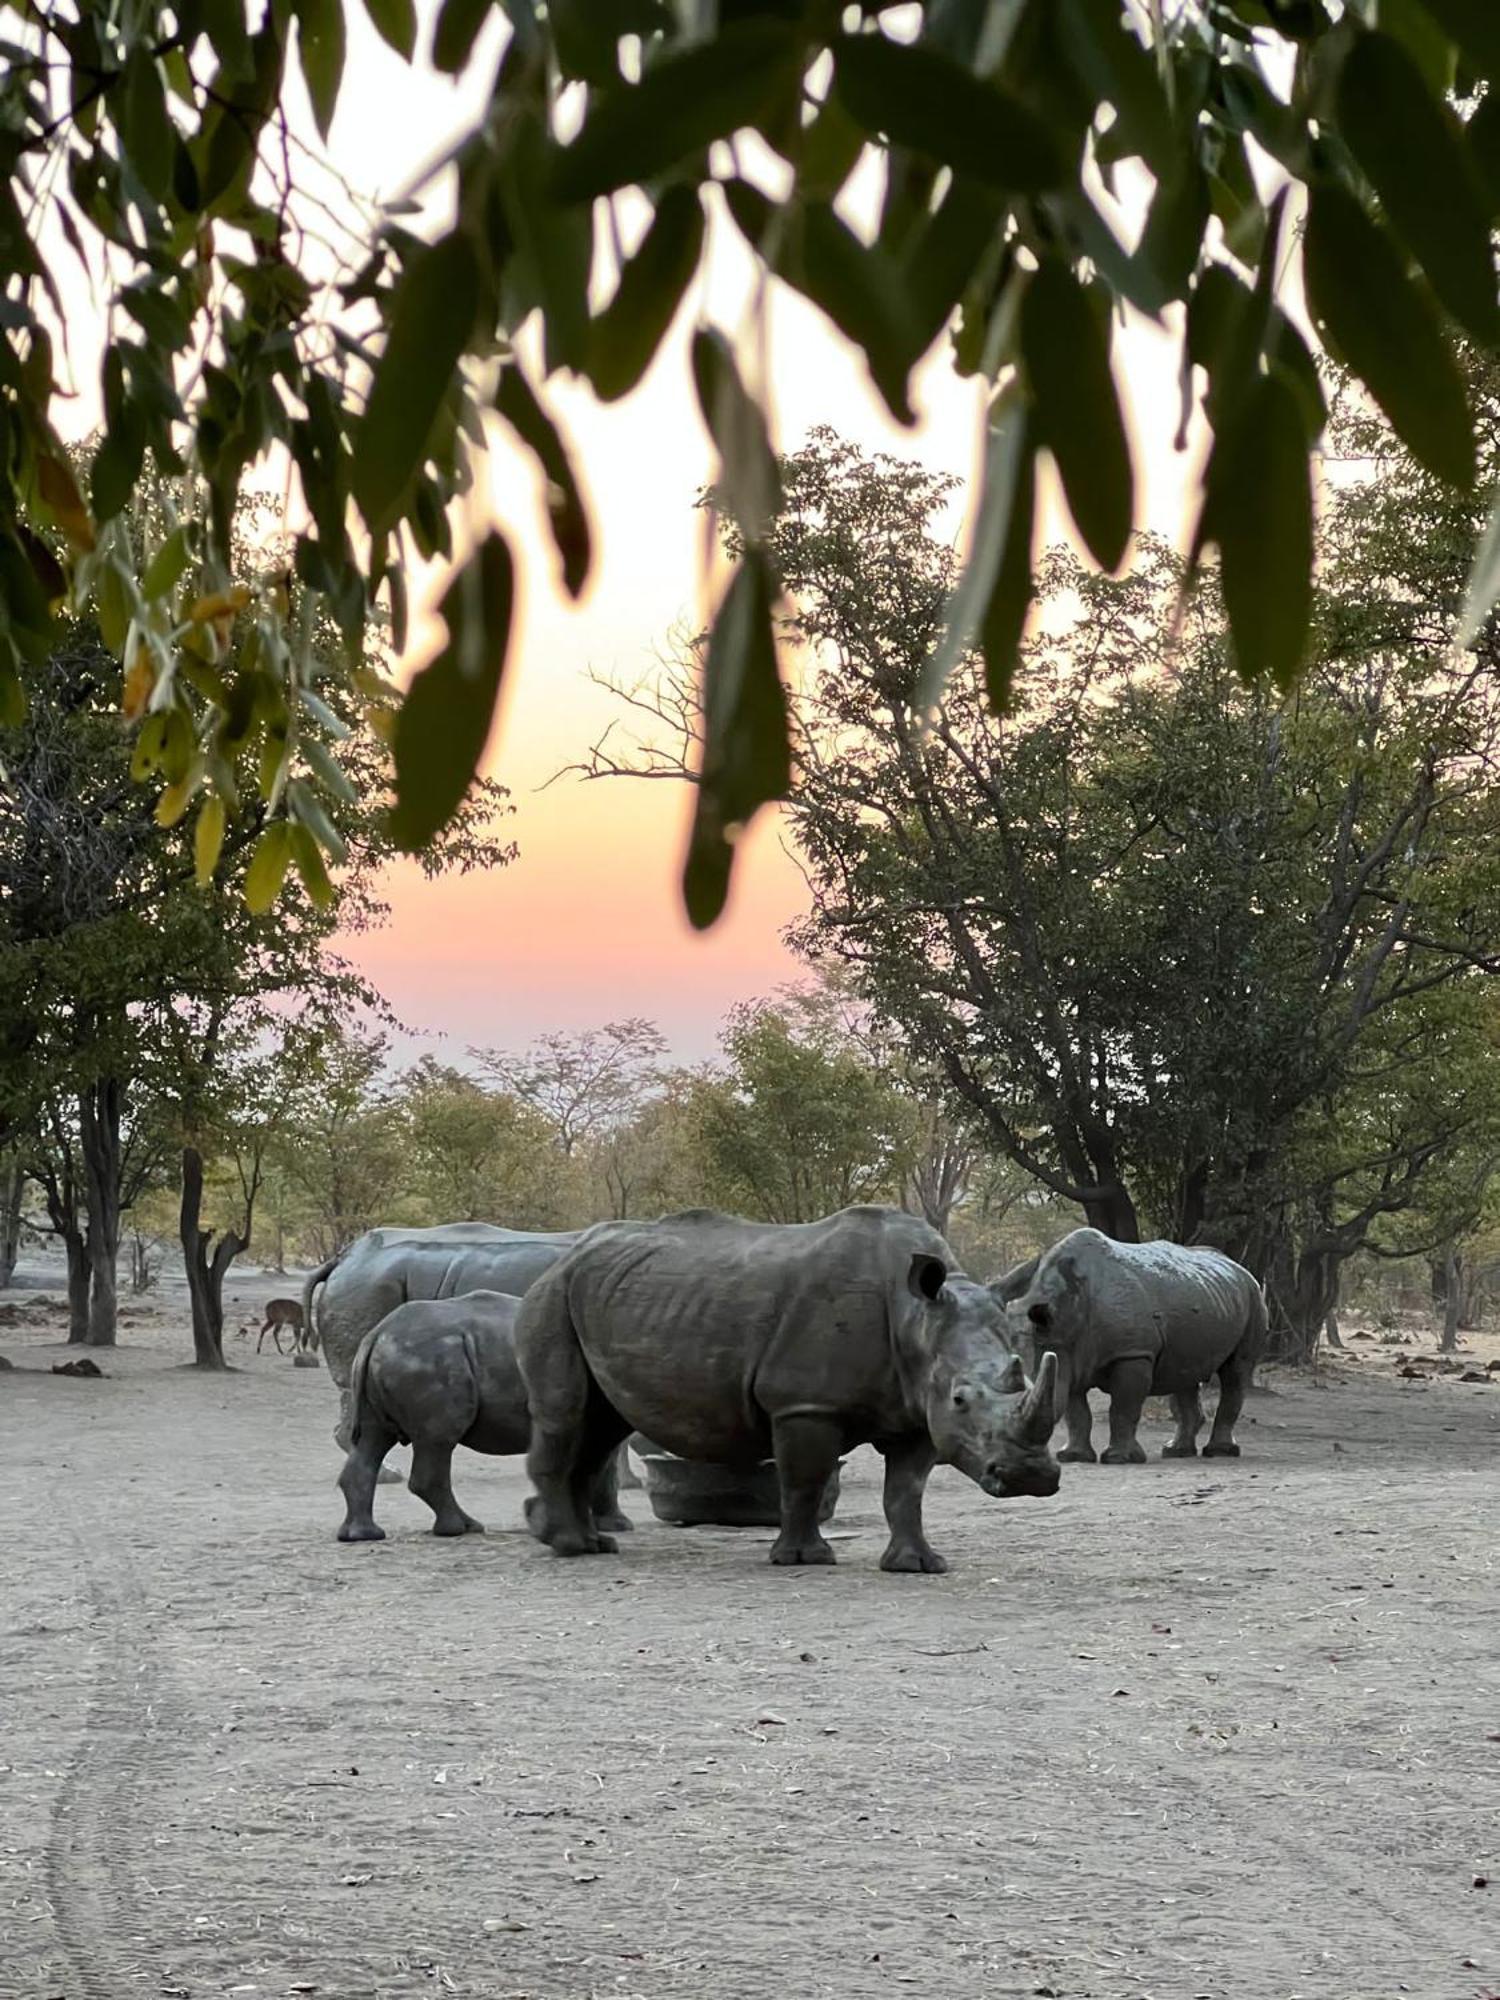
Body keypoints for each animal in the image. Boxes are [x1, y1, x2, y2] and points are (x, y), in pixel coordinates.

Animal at [524, 1200, 1064, 1576]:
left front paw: (919, 1566)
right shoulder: (804, 1404)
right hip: (551, 1298)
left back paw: (594, 1545)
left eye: (1022, 1377)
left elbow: (906, 1492)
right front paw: (805, 1559)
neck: (917, 1319)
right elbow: (806, 1480)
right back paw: (570, 1547)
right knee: (566, 1417)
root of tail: (564, 1257)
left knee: (601, 1427)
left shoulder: (916, 1410)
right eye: (960, 1399)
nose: (1031, 1477)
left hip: (608, 1296)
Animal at [992, 1224, 1272, 1464]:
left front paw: (1119, 1458)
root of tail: (1239, 1268)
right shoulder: (1066, 1353)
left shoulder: (1132, 1353)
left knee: (1235, 1372)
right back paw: (1176, 1451)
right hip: (1205, 1298)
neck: (1063, 1312)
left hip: (1253, 1298)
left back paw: (1220, 1452)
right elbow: (1076, 1413)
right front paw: (1073, 1457)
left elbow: (1123, 1408)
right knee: (1185, 1372)